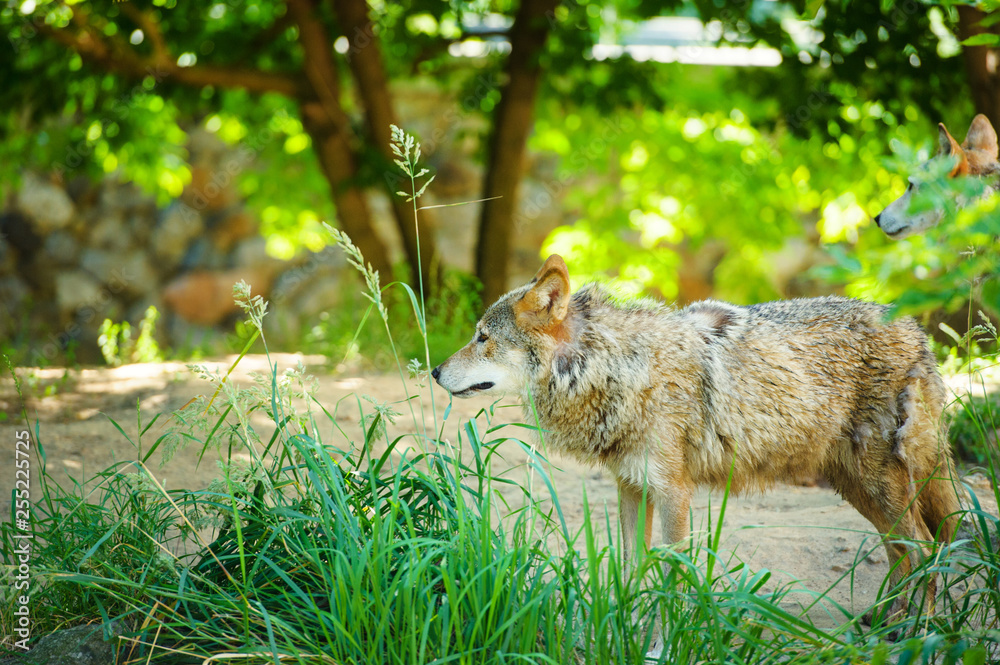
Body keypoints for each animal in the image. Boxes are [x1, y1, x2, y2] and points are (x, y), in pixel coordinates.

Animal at [433, 254, 960, 655]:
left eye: (482, 337)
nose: (435, 372)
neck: (617, 368)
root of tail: (917, 331)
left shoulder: (674, 493)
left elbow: (671, 577)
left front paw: (659, 648)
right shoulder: (631, 487)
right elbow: (632, 570)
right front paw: (625, 636)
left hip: (879, 483)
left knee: (926, 548)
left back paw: (917, 635)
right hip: (861, 488)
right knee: (902, 551)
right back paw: (885, 624)